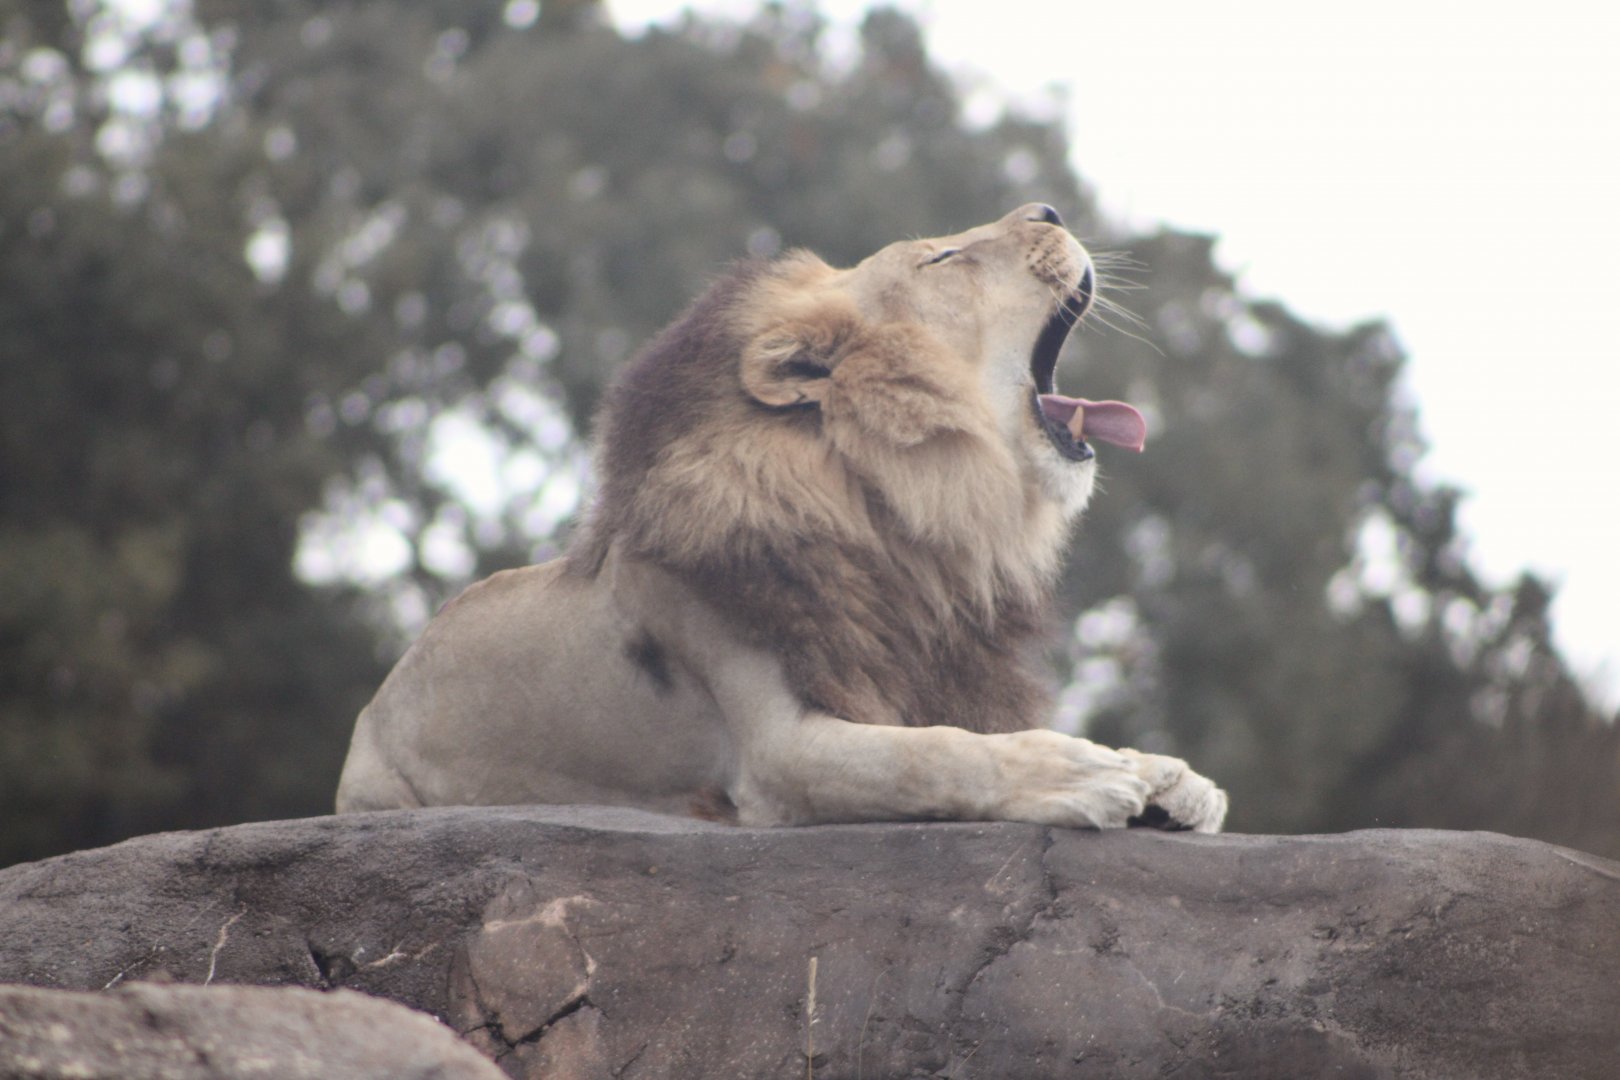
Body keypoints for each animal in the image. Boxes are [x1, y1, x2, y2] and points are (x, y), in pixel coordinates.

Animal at [335, 204, 1227, 833]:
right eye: (941, 256)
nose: (1049, 208)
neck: (898, 512)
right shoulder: (777, 750)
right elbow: (938, 755)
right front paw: (1081, 775)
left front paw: (1170, 775)